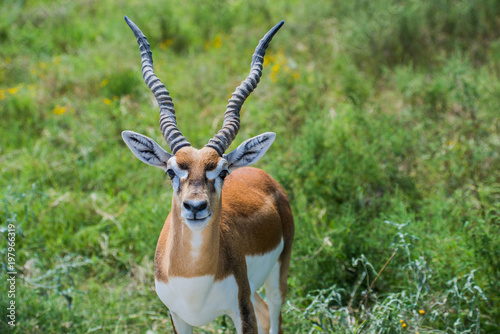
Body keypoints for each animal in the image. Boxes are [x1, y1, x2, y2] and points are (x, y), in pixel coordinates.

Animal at [120, 17, 292, 334]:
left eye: (222, 171)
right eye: (171, 171)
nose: (196, 207)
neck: (193, 277)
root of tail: (258, 173)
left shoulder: (241, 311)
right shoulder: (178, 317)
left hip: (276, 280)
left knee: (274, 313)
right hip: (253, 292)